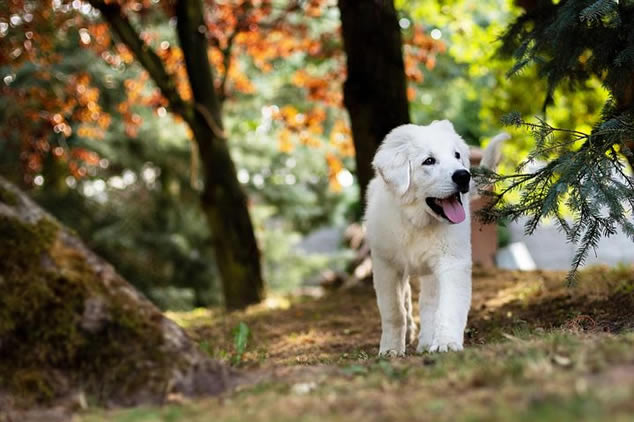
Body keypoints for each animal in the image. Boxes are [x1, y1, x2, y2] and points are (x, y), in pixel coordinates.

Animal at [366, 120, 504, 354]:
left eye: (457, 155)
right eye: (429, 161)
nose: (463, 176)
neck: (417, 222)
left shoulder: (452, 261)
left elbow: (448, 306)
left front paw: (446, 343)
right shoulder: (386, 265)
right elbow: (393, 311)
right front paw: (391, 349)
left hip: (431, 272)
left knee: (429, 304)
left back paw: (426, 341)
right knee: (407, 300)